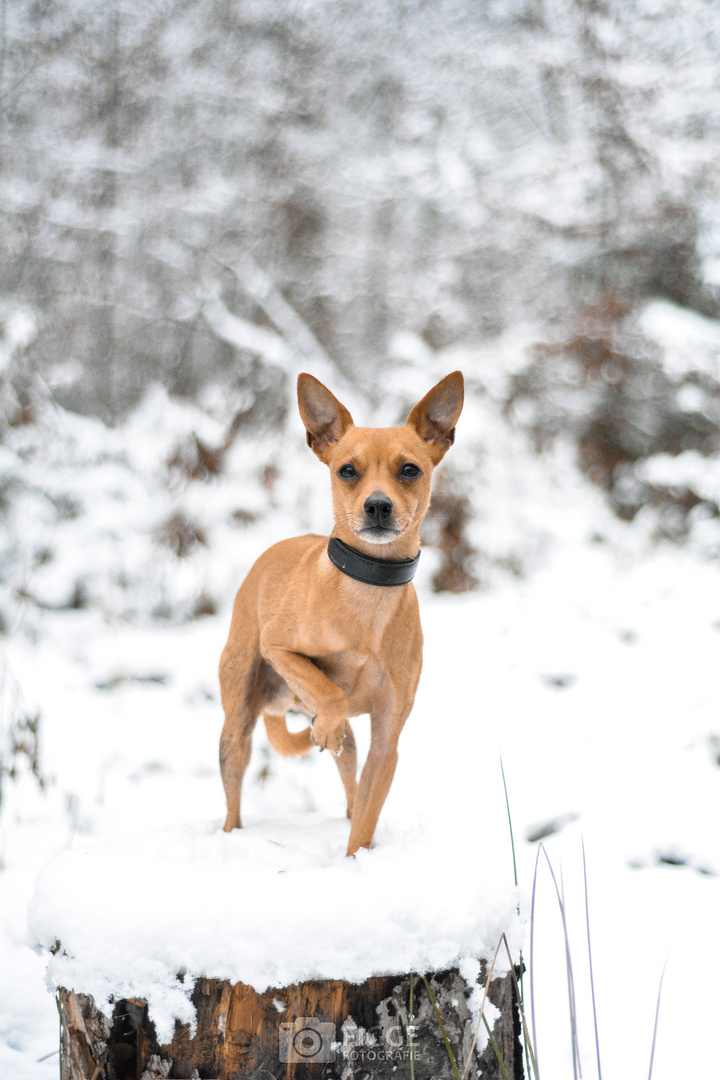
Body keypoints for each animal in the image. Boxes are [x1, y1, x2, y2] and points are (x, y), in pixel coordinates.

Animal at [220, 371, 464, 851]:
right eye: (346, 470)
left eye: (410, 469)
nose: (378, 505)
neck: (369, 588)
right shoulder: (279, 647)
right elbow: (329, 689)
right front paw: (328, 715)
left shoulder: (387, 740)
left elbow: (366, 818)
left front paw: (357, 860)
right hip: (237, 717)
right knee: (234, 789)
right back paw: (231, 836)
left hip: (350, 748)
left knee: (351, 787)